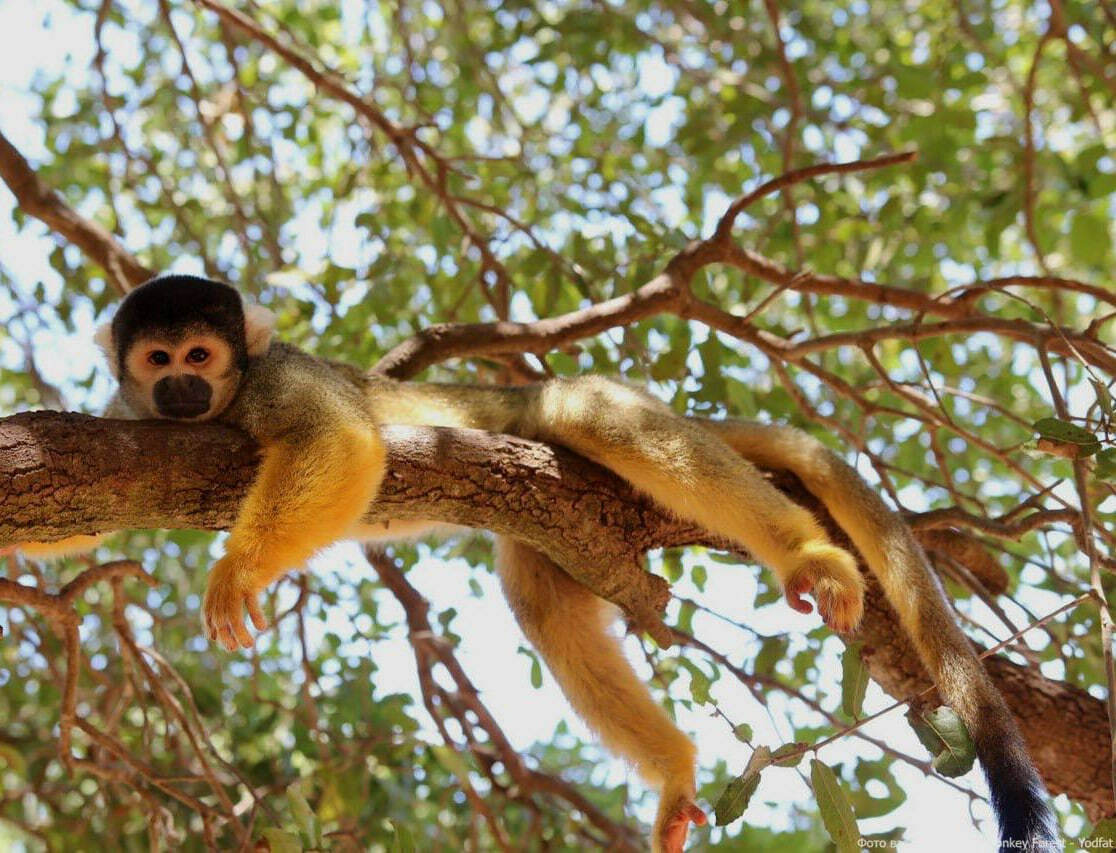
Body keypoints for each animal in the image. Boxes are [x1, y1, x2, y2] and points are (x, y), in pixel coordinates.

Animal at [26, 276, 1053, 848]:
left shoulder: (279, 379)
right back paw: (676, 767)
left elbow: (345, 442)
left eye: (202, 354)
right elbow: (74, 515)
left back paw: (807, 550)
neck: (224, 397)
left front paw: (238, 573)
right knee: (540, 594)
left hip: (563, 419)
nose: (183, 389)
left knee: (593, 413)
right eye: (157, 360)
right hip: (561, 522)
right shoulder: (131, 420)